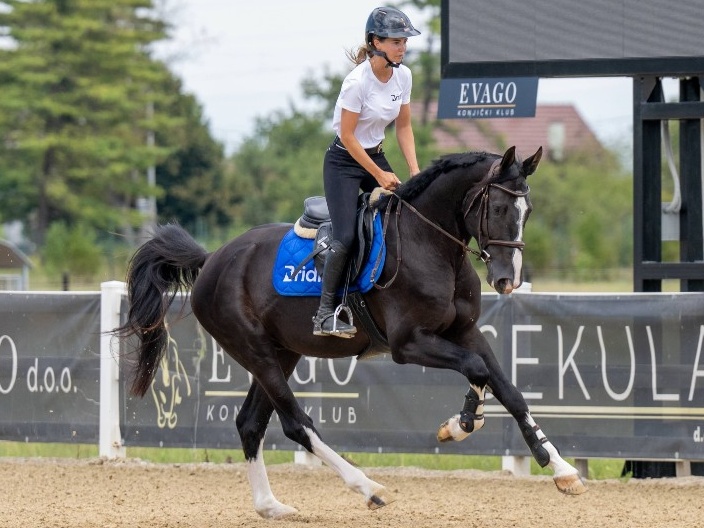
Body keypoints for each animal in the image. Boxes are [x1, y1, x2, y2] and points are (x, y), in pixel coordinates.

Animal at [116, 145, 587, 519]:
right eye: (500, 209)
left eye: (528, 212)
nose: (508, 280)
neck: (429, 243)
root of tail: (213, 258)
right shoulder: (409, 344)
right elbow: (477, 370)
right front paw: (462, 423)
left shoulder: (466, 332)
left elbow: (506, 387)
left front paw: (558, 467)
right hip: (256, 352)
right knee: (296, 424)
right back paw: (368, 487)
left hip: (282, 353)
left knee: (250, 422)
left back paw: (270, 506)